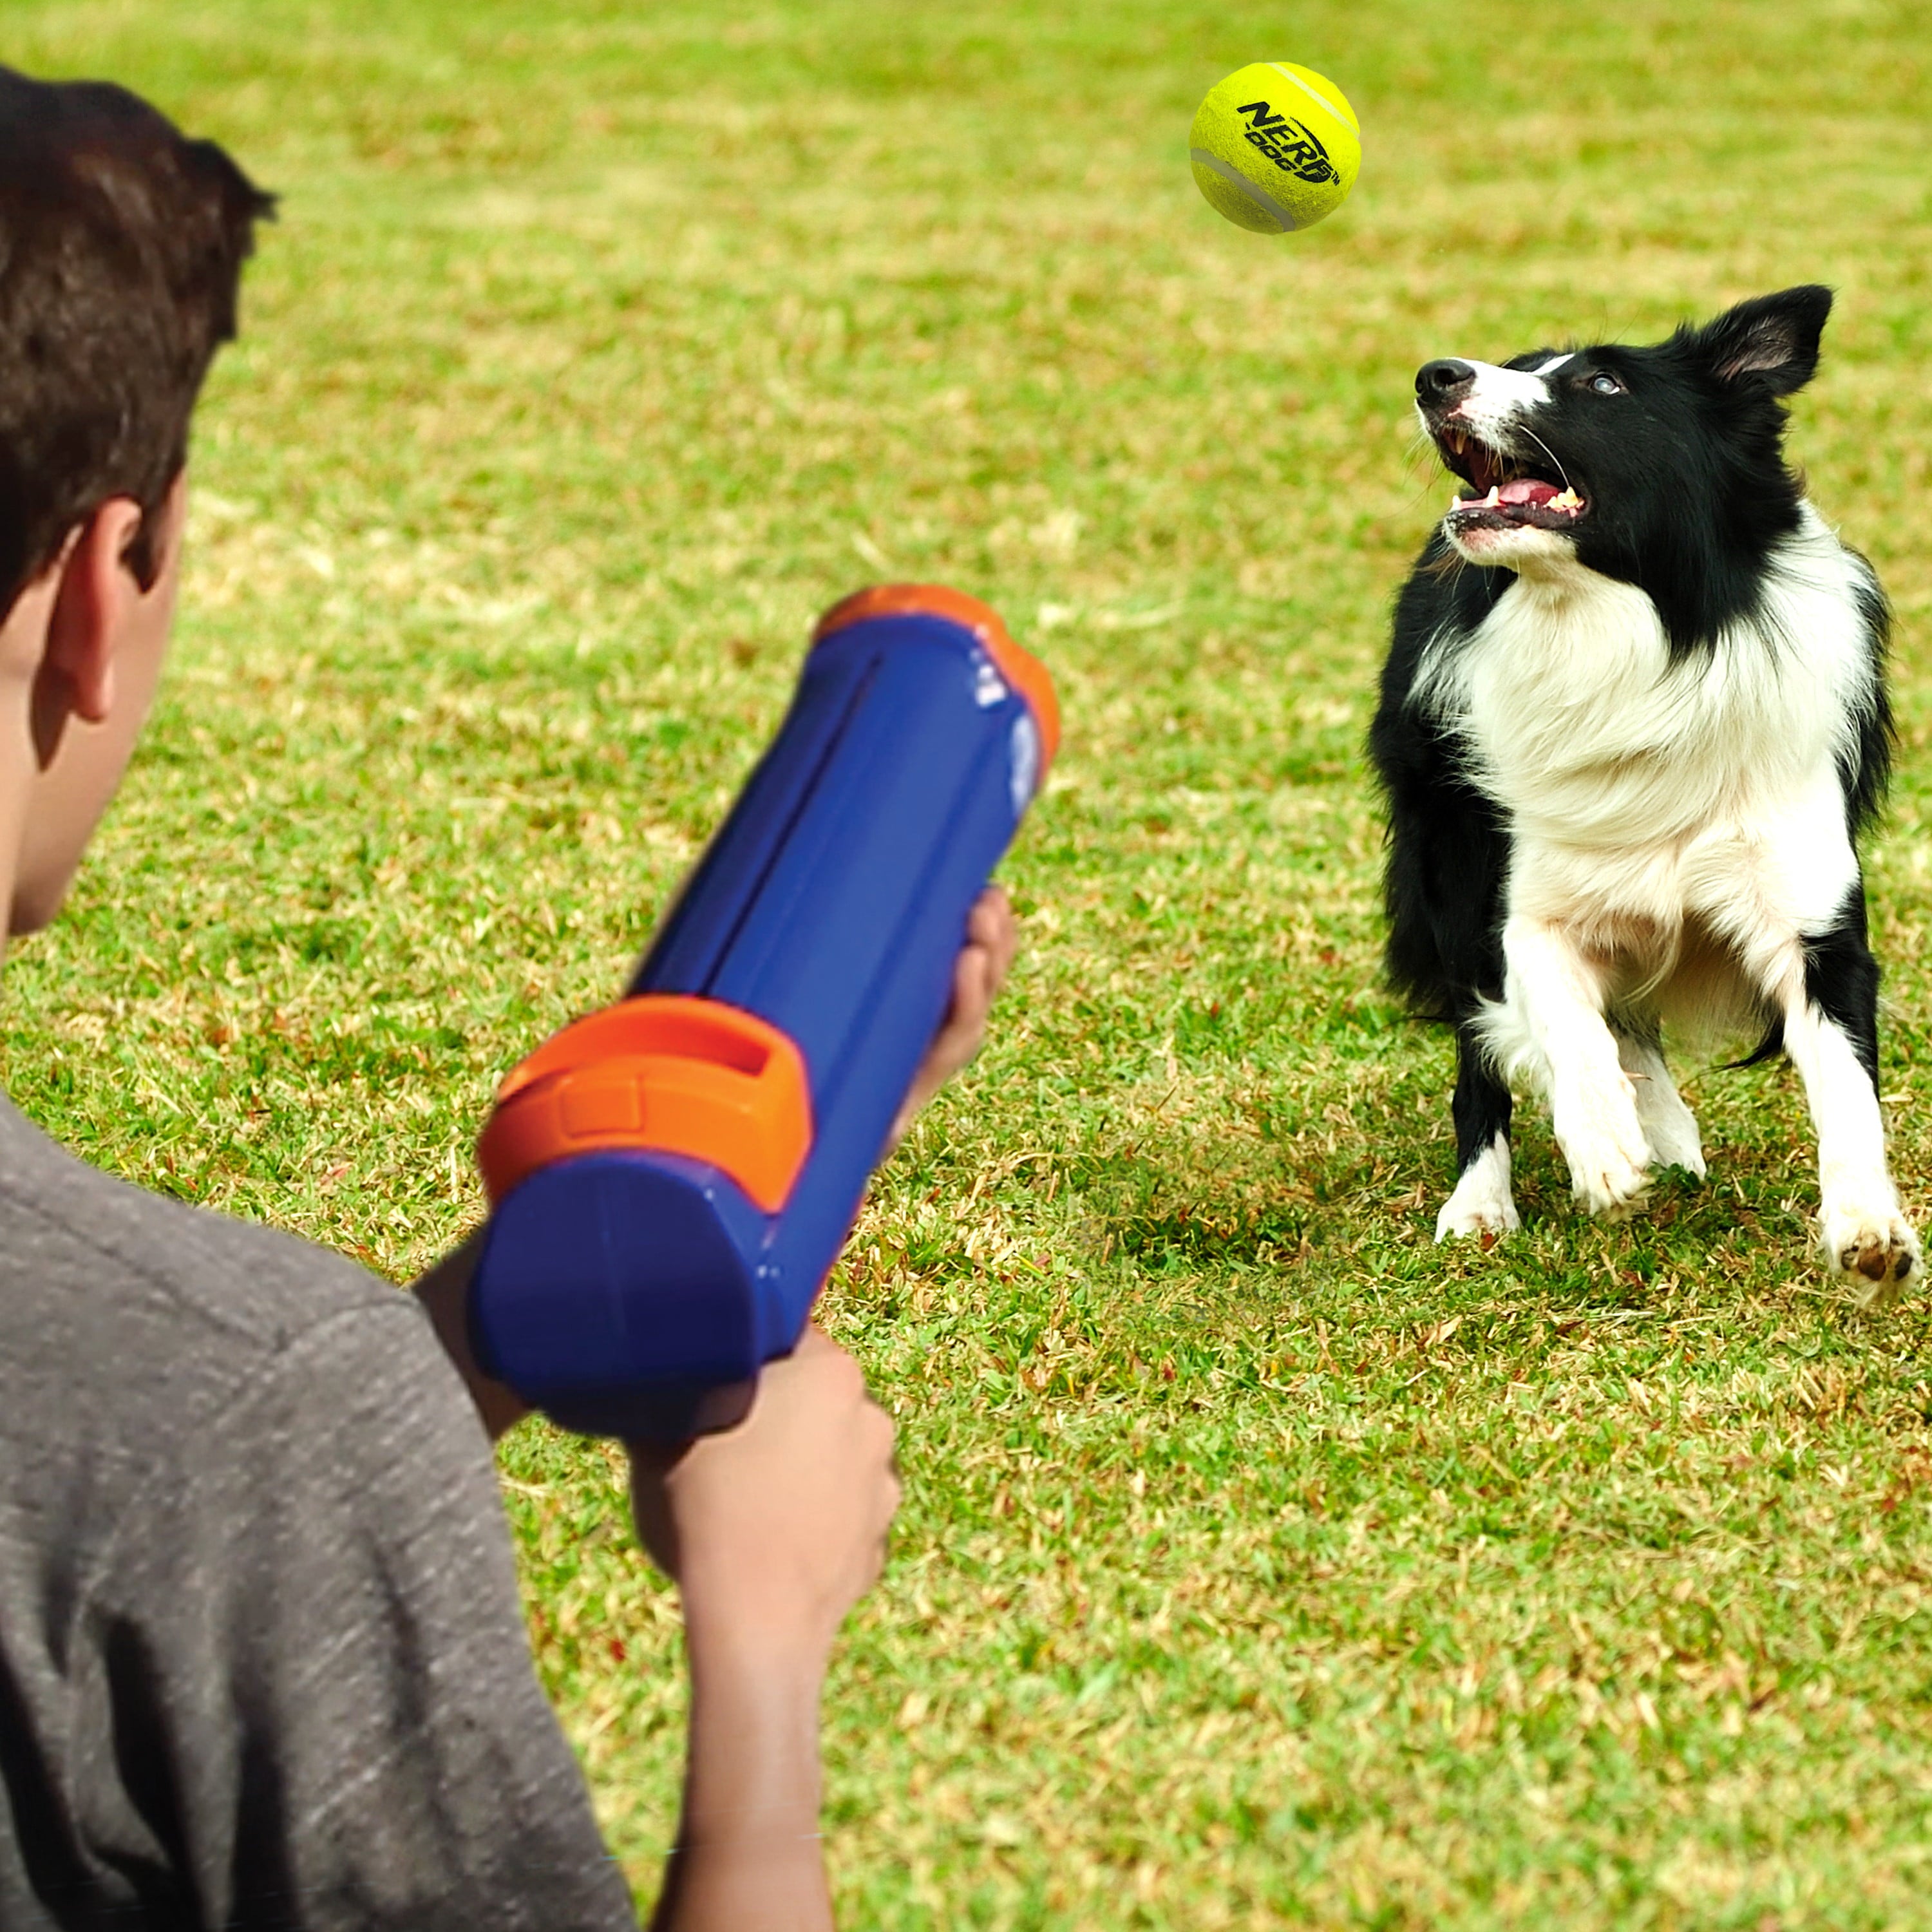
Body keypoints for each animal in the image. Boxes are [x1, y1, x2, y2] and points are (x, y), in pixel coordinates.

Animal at [1376, 286, 1917, 1291]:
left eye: (1602, 384)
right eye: (1519, 364)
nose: (1436, 376)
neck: (1631, 633)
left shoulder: (1812, 915)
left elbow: (1847, 1083)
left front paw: (1871, 1231)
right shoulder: (1519, 897)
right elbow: (1557, 1012)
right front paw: (1601, 1147)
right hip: (1450, 856)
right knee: (1488, 1052)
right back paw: (1486, 1204)